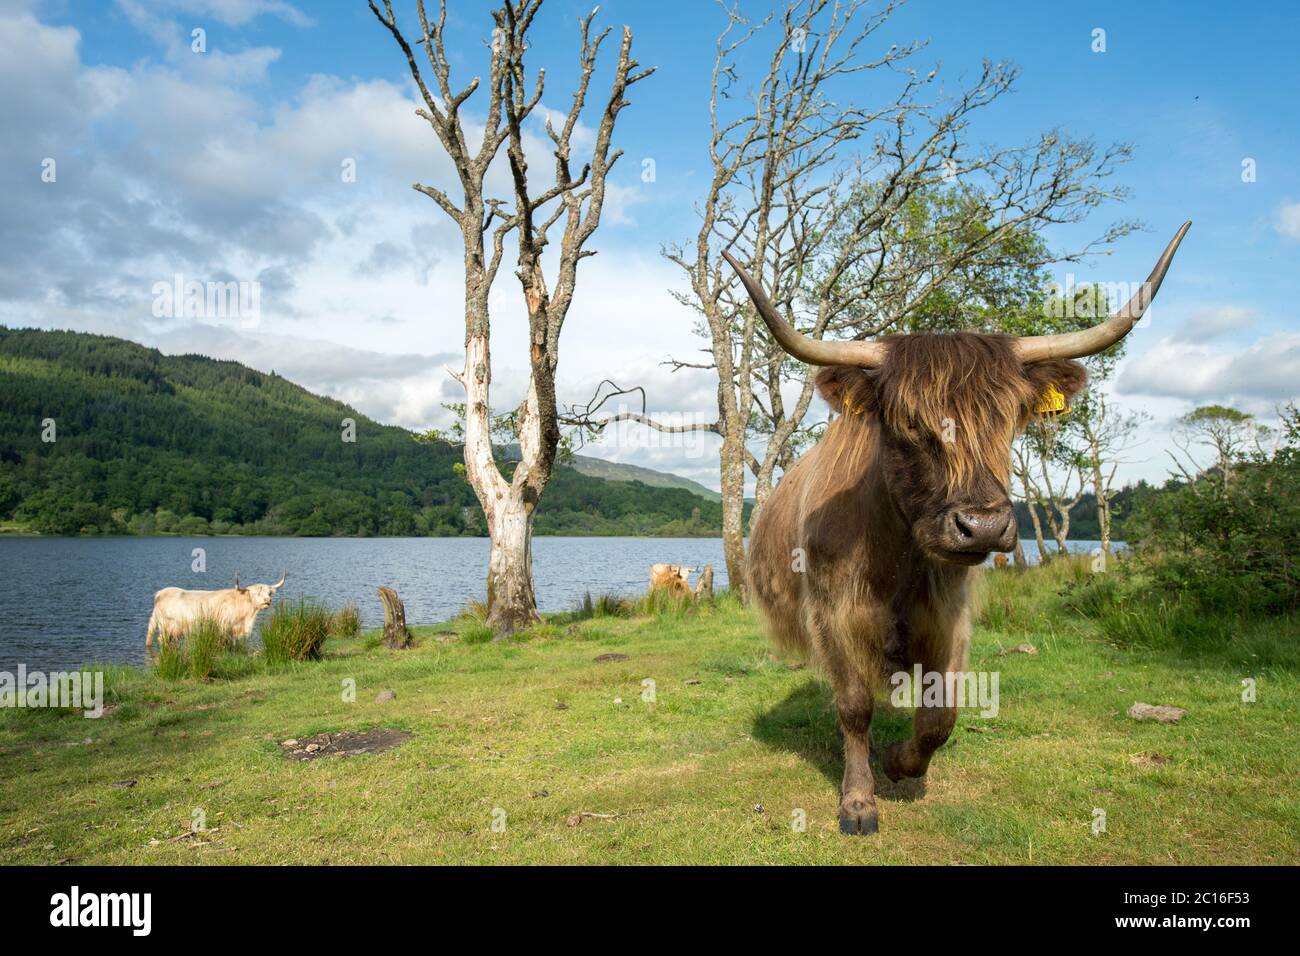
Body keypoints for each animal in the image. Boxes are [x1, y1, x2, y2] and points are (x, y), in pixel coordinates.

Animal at [728, 222, 1190, 832]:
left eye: (1011, 419)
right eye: (907, 422)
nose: (984, 527)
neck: (894, 557)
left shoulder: (949, 615)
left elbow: (940, 714)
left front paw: (900, 763)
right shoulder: (832, 612)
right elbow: (854, 705)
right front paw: (858, 801)